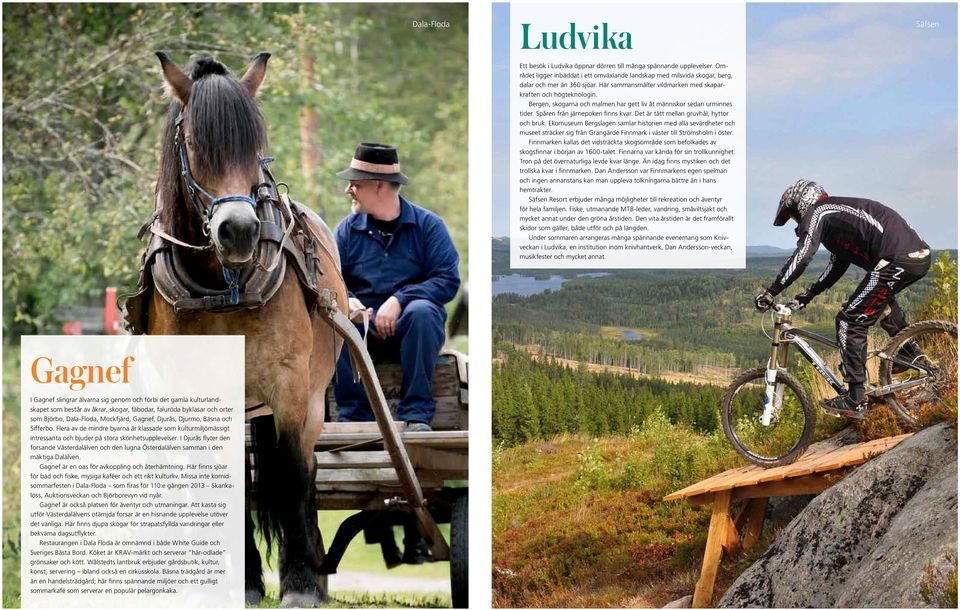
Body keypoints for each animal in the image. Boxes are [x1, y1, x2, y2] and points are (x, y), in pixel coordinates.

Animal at [129, 53, 346, 608]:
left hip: (310, 397)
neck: (221, 287)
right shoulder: (190, 396)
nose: (240, 231)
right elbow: (222, 481)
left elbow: (291, 476)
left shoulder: (289, 386)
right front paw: (241, 581)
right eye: (194, 144)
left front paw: (298, 584)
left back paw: (311, 570)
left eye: (255, 146)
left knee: (306, 470)